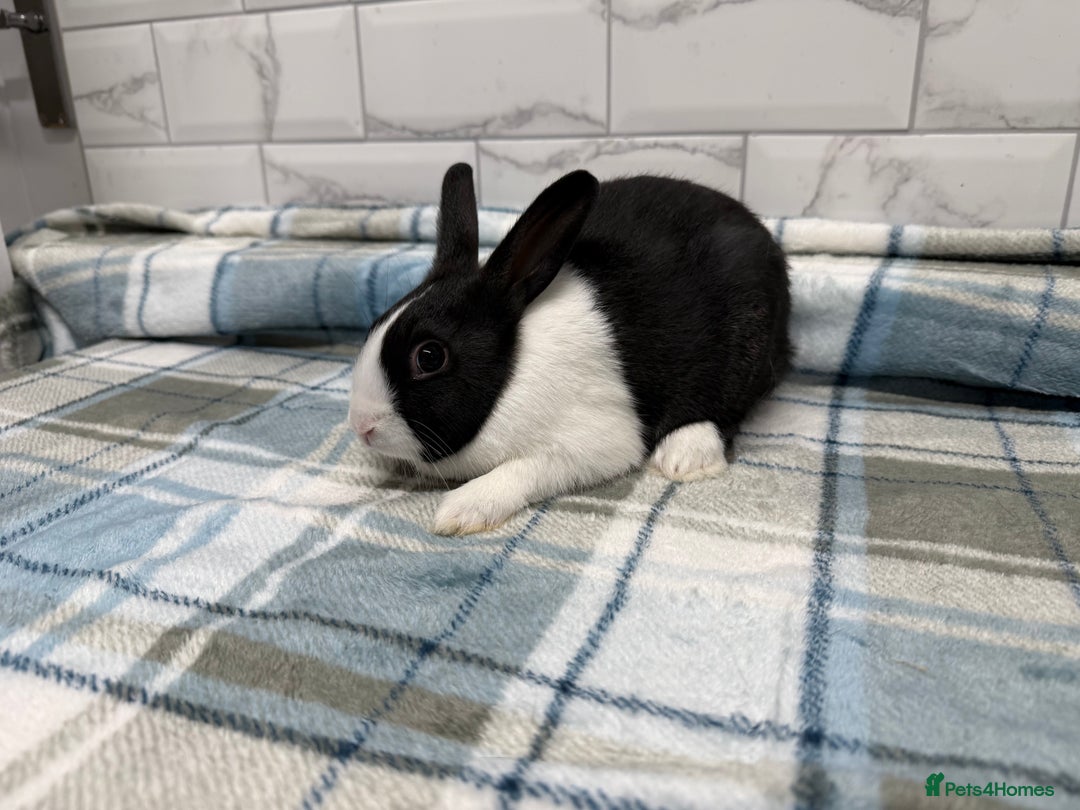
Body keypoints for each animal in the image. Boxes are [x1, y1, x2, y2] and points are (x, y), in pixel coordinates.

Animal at [349, 163, 791, 536]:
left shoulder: (597, 440)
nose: (362, 427)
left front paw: (461, 511)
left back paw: (685, 455)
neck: (513, 371)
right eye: (375, 324)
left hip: (747, 346)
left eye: (429, 356)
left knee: (728, 406)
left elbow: (526, 469)